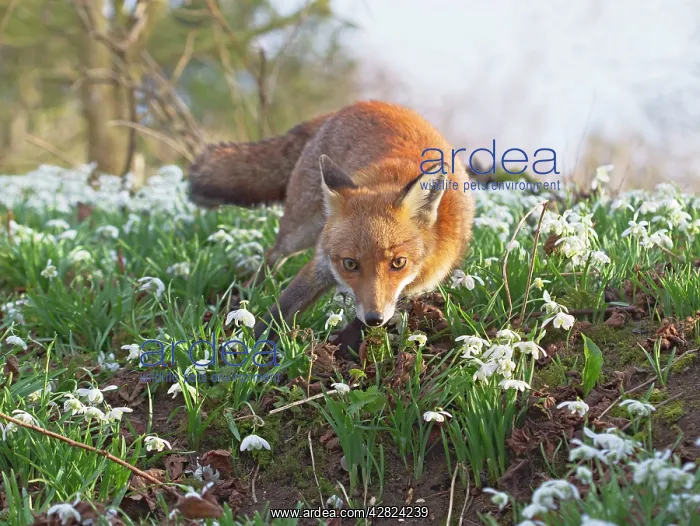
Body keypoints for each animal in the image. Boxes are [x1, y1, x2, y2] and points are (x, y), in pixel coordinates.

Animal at [188, 100, 475, 342]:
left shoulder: (408, 292)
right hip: (301, 230)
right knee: (274, 253)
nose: (374, 318)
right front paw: (245, 348)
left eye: (398, 263)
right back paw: (243, 297)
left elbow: (362, 324)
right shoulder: (322, 264)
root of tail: (354, 104)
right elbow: (280, 309)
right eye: (350, 263)